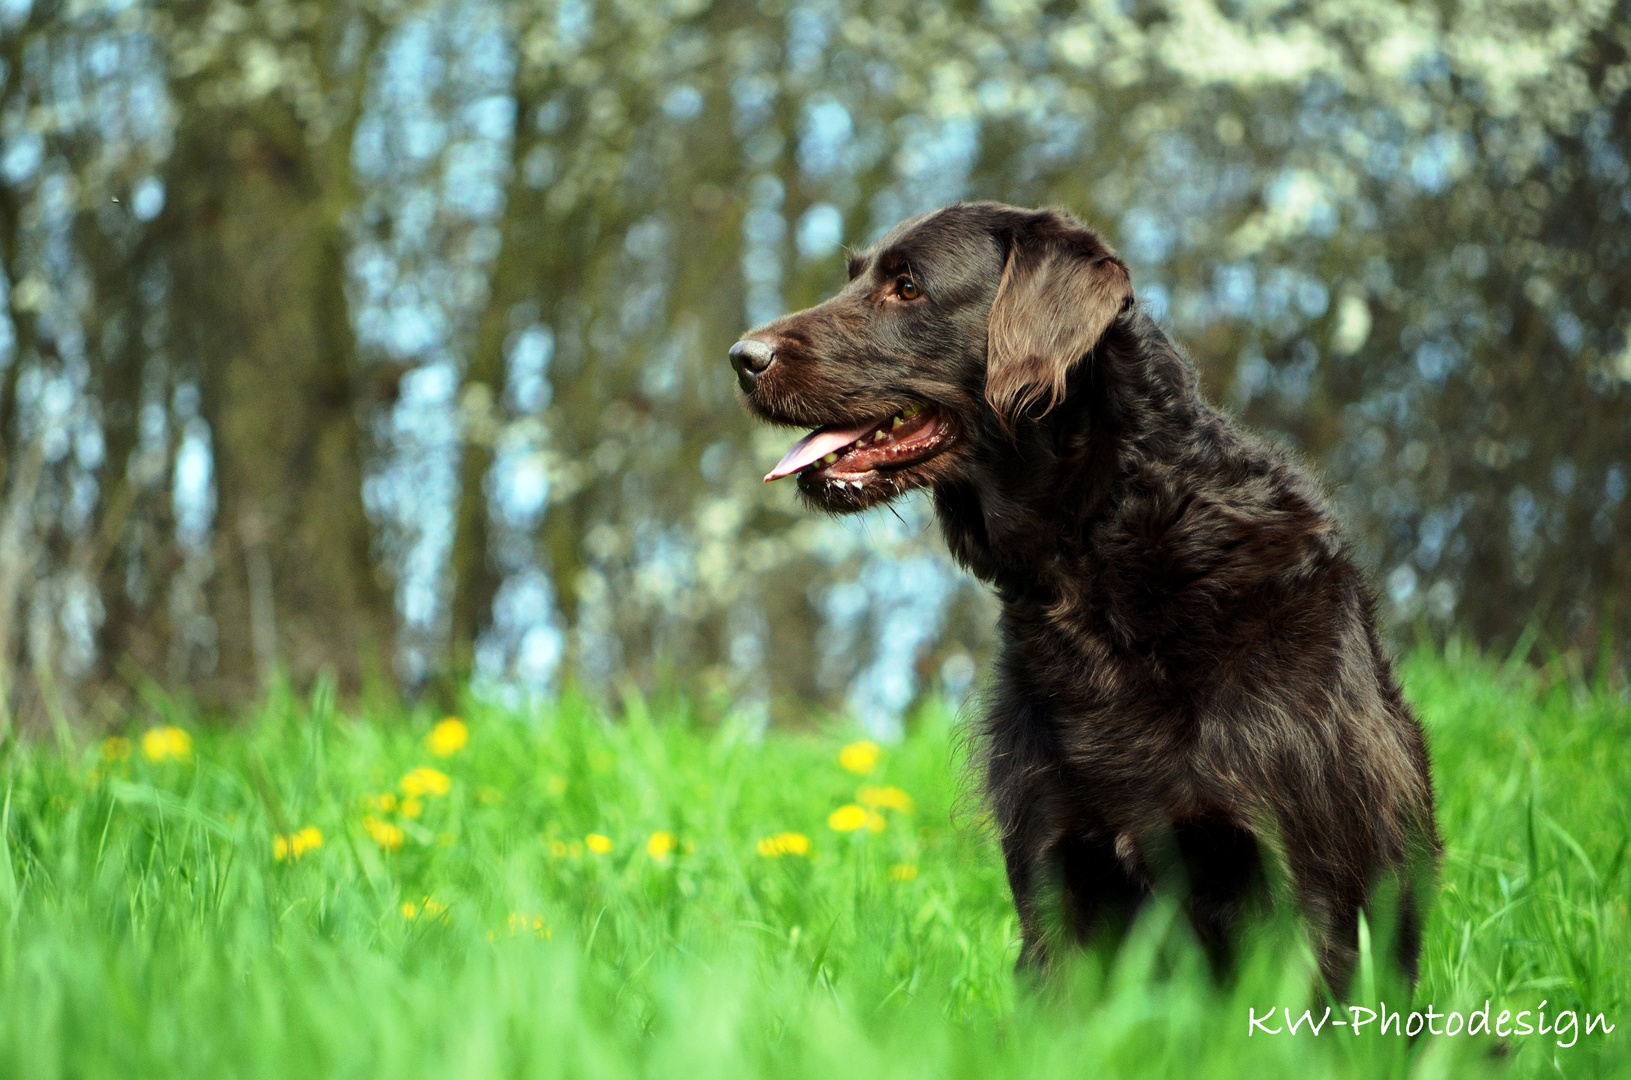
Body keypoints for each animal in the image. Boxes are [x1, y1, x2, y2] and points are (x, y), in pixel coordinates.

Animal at [730, 200, 1441, 991]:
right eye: (853, 276)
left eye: (907, 287)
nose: (740, 357)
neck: (1112, 553)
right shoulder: (1053, 874)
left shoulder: (1303, 884)